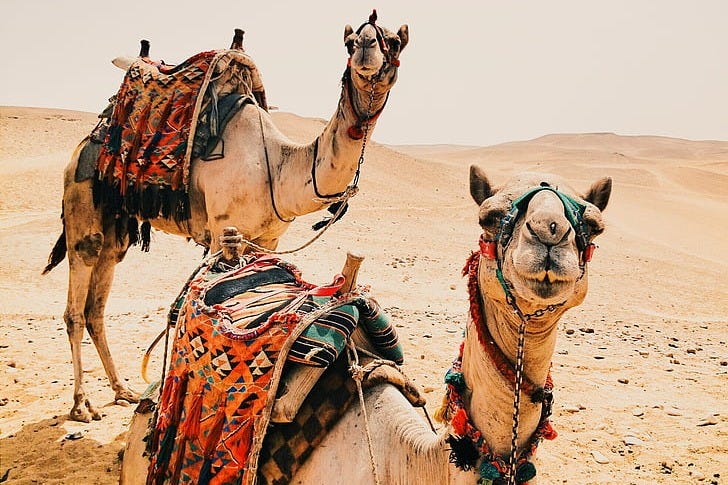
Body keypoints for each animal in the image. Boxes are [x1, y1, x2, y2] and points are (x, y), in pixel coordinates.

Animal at [41, 12, 409, 423]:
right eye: (350, 42)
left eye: (394, 41)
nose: (366, 49)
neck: (279, 168)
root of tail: (90, 138)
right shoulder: (222, 231)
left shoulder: (268, 238)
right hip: (82, 201)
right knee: (76, 302)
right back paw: (81, 405)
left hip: (116, 226)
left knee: (97, 303)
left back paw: (122, 389)